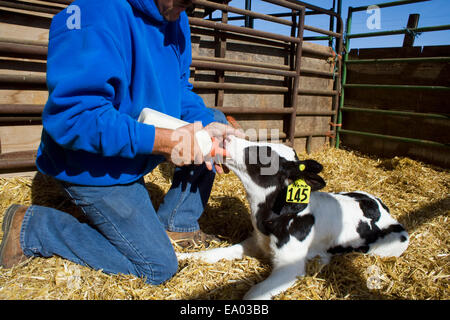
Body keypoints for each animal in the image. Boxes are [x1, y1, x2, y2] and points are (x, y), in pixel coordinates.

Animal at [178, 138, 410, 300]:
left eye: (264, 156)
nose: (224, 138)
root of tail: (379, 204)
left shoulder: (290, 266)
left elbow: (254, 293)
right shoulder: (254, 243)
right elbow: (214, 253)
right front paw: (183, 257)